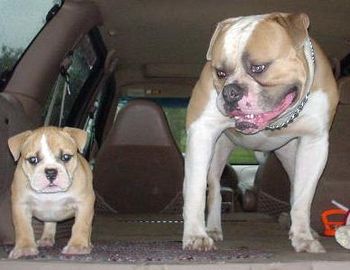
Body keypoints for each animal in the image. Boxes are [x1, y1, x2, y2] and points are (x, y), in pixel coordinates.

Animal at [8, 125, 95, 258]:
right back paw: (46, 240)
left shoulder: (84, 204)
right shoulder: (20, 206)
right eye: (33, 160)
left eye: (66, 157)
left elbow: (81, 225)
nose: (50, 172)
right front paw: (24, 248)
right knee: (50, 223)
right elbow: (23, 228)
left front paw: (77, 246)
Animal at [183, 12, 340, 253]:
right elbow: (195, 189)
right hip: (217, 153)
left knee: (296, 187)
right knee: (215, 187)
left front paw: (303, 237)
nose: (230, 91)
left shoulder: (315, 143)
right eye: (220, 73)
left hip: (291, 155)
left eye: (259, 68)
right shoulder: (201, 132)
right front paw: (194, 235)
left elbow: (303, 197)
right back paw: (213, 229)